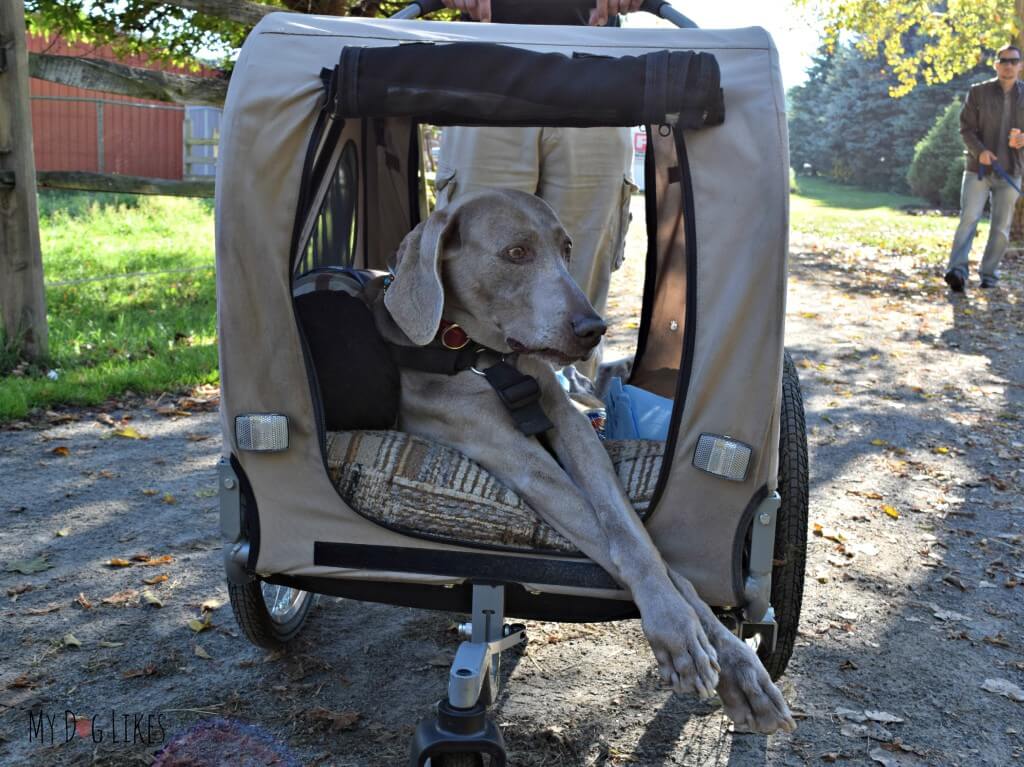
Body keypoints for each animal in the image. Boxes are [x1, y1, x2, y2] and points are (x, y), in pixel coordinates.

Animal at [372, 188, 794, 733]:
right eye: (516, 253)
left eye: (567, 247)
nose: (594, 328)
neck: (485, 358)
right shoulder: (515, 457)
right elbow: (617, 541)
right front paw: (678, 632)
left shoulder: (572, 428)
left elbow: (640, 542)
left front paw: (740, 667)